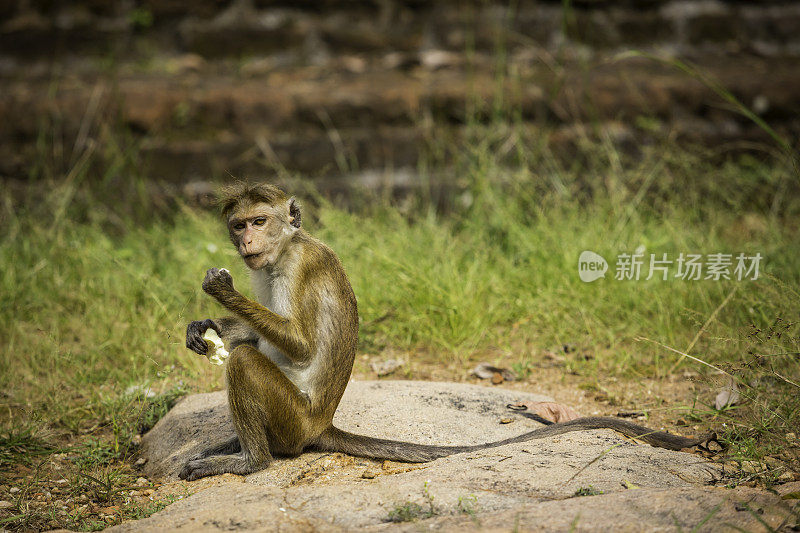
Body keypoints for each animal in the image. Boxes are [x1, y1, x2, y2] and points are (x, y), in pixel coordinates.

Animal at [180, 183, 708, 482]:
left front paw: (218, 293)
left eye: (260, 220)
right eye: (239, 225)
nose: (247, 240)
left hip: (293, 421)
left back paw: (253, 460)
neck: (284, 250)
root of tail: (320, 426)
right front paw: (205, 326)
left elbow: (300, 344)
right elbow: (251, 333)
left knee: (246, 365)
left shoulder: (299, 267)